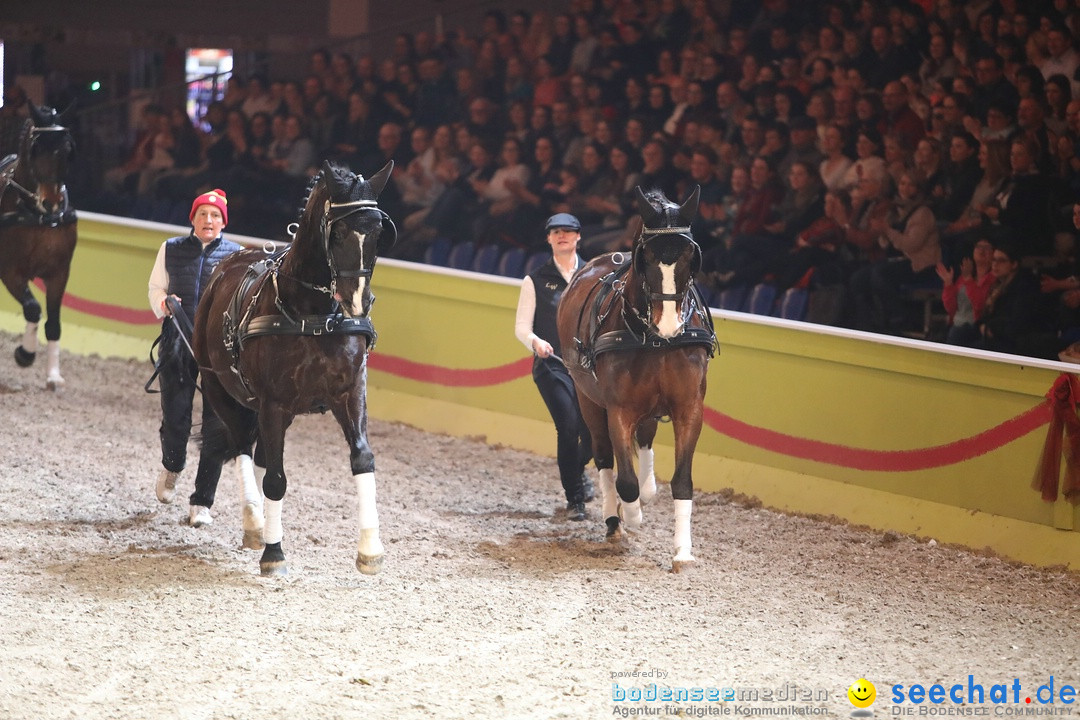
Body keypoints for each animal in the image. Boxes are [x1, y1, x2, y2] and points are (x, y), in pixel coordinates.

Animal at [0, 101, 77, 388]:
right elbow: (32, 309)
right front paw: (25, 354)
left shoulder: (59, 273)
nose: (51, 202)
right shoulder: (10, 272)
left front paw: (53, 374)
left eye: (68, 149)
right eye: (35, 149)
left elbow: (53, 323)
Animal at [193, 160, 397, 578]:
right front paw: (274, 552)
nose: (357, 301)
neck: (313, 315)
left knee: (255, 453)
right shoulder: (274, 403)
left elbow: (362, 459)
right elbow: (275, 479)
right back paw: (255, 523)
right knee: (242, 446)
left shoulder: (350, 391)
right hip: (220, 387)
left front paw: (370, 549)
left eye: (379, 232)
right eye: (337, 232)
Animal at [557, 188, 717, 569]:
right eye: (647, 256)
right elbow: (624, 481)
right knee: (604, 457)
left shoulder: (689, 409)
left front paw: (682, 550)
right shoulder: (619, 410)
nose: (670, 324)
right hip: (589, 400)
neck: (654, 339)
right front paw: (629, 517)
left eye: (690, 255)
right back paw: (614, 520)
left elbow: (682, 481)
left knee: (644, 442)